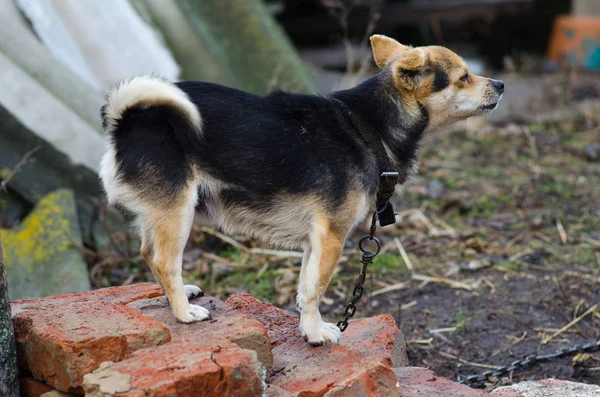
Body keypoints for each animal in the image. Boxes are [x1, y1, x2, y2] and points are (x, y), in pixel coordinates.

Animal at [98, 33, 502, 344]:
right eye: (464, 76)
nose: (500, 84)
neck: (367, 127)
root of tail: (126, 122)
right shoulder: (332, 236)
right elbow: (315, 290)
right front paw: (317, 333)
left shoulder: (314, 240)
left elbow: (304, 286)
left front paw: (310, 327)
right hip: (178, 212)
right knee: (165, 261)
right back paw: (184, 311)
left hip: (160, 212)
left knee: (148, 253)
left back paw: (179, 295)